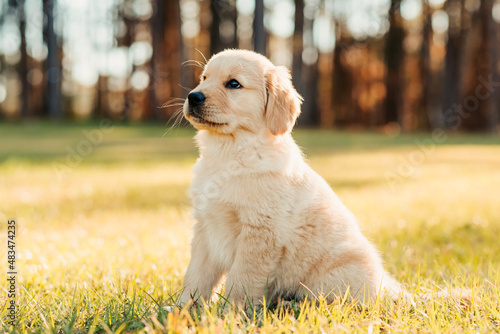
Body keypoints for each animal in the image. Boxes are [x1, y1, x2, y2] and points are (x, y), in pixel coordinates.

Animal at [178, 49, 404, 308]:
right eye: (204, 78)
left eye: (233, 84)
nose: (193, 96)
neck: (229, 153)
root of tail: (385, 286)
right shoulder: (205, 227)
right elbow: (196, 275)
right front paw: (183, 308)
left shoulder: (260, 232)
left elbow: (241, 278)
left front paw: (231, 311)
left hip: (336, 274)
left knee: (335, 301)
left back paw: (289, 304)